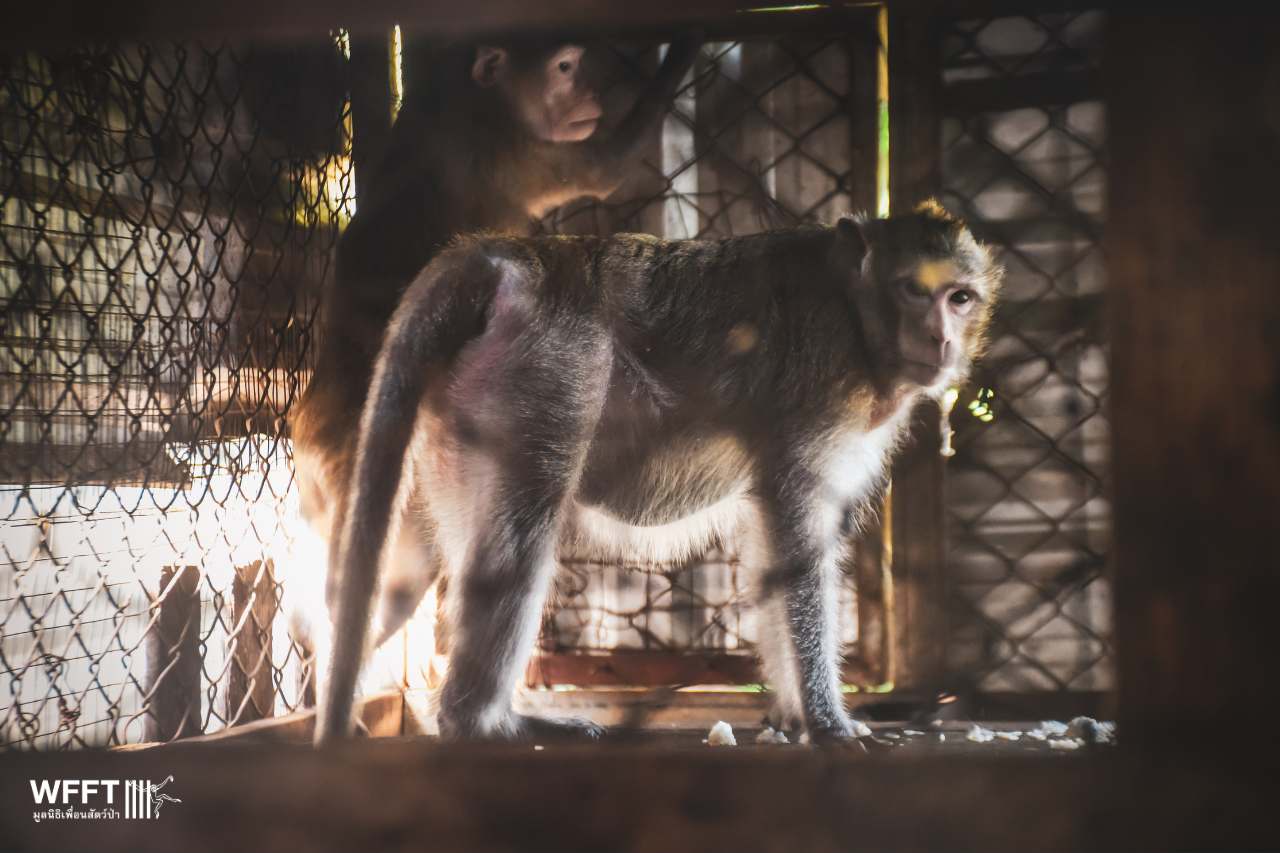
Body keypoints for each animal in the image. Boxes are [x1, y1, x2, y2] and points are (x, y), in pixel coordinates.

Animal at [289, 34, 701, 655]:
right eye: (565, 68)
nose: (589, 96)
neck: (472, 103)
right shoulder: (522, 150)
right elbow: (606, 166)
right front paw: (679, 53)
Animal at [314, 201, 1003, 742]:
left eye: (960, 297)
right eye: (914, 290)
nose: (941, 338)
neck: (854, 315)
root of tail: (513, 257)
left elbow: (769, 545)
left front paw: (792, 714)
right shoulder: (819, 393)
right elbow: (795, 534)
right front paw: (826, 721)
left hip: (460, 409)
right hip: (546, 368)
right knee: (522, 530)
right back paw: (483, 722)